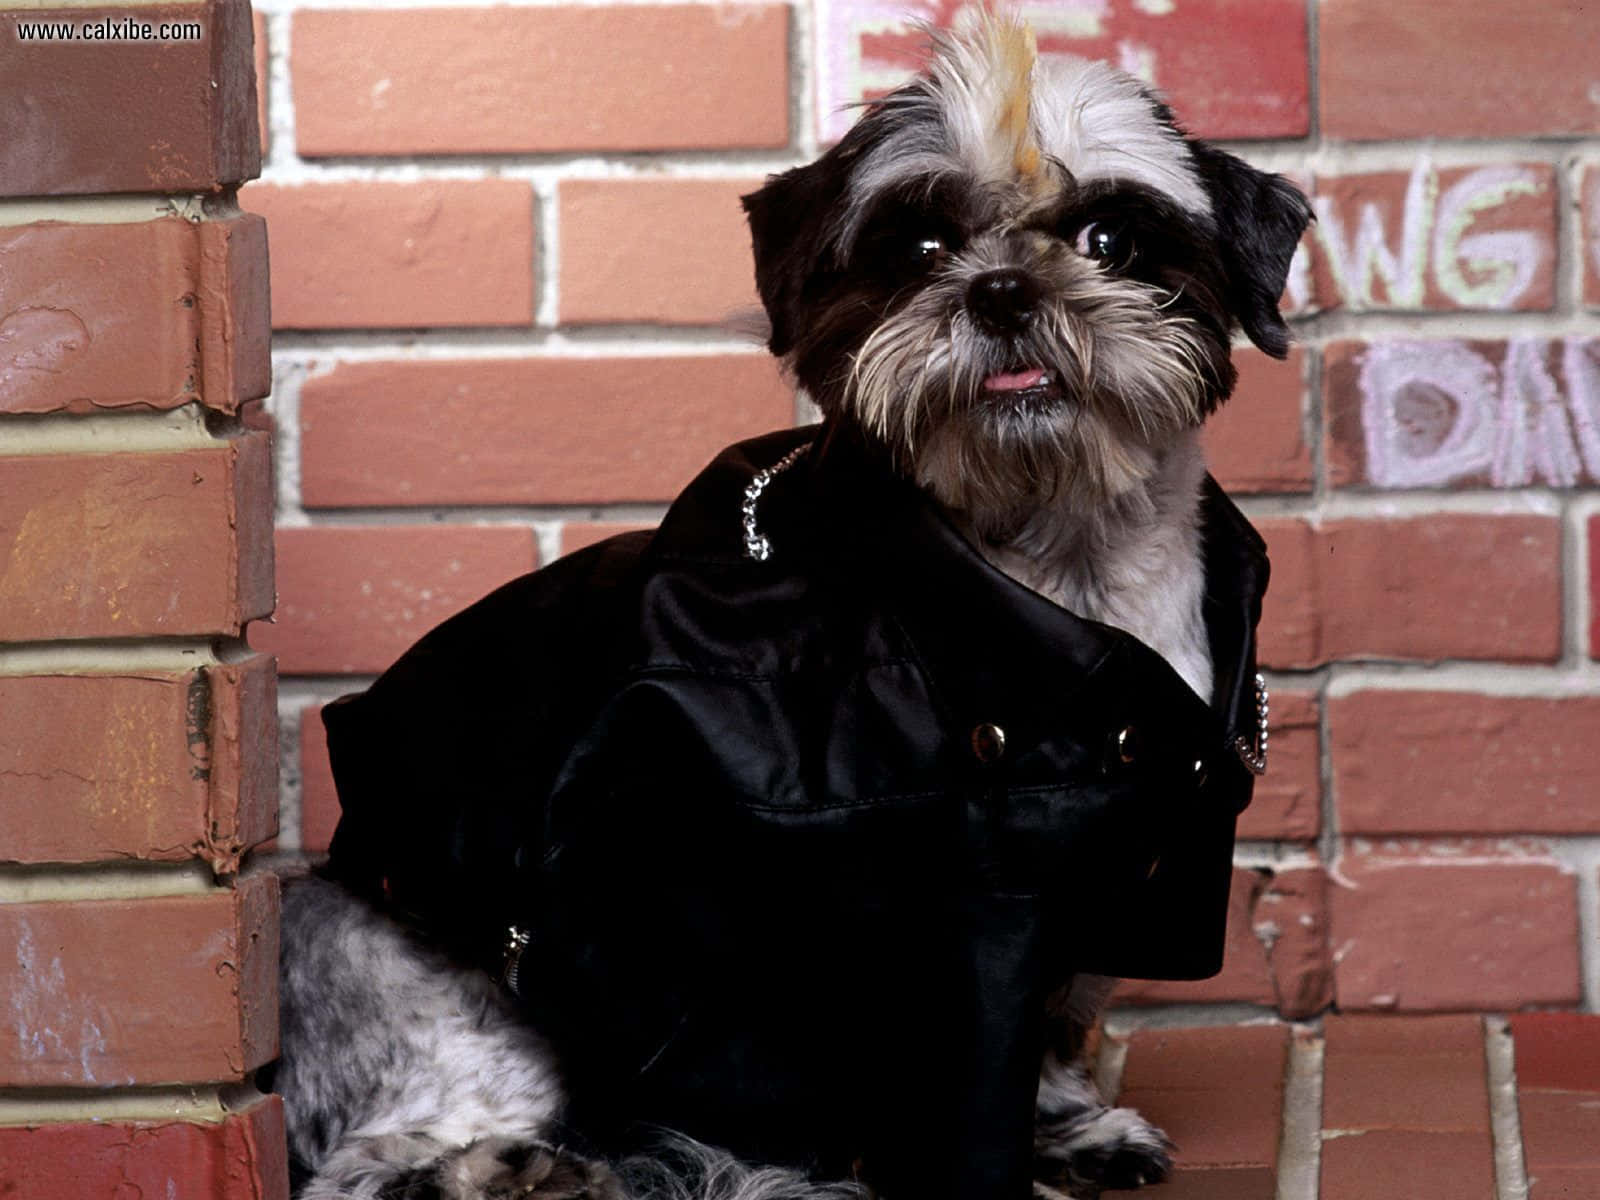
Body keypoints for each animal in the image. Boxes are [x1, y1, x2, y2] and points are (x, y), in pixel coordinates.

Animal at [268, 11, 1305, 1200]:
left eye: (1110, 240)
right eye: (919, 251)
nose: (1001, 290)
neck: (1052, 572)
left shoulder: (1119, 875)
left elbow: (1053, 1023)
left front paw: (1072, 1124)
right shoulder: (967, 921)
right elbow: (967, 1079)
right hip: (441, 990)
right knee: (376, 1158)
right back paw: (512, 1170)